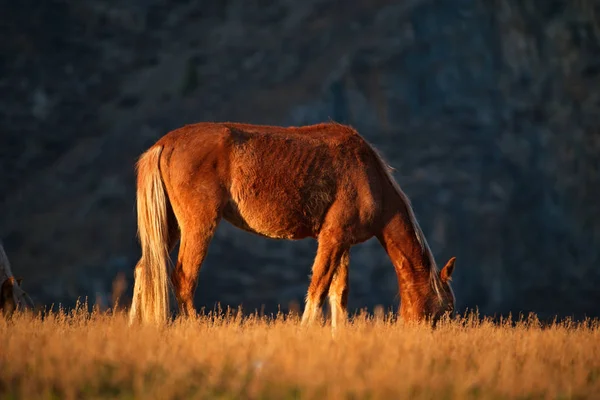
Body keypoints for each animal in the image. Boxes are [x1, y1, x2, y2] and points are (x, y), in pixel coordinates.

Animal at [127, 122, 454, 328]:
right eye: (444, 310)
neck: (369, 175)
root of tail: (163, 144)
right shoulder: (332, 238)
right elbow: (319, 287)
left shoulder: (342, 243)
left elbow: (339, 294)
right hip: (198, 225)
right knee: (183, 277)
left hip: (170, 226)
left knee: (144, 268)